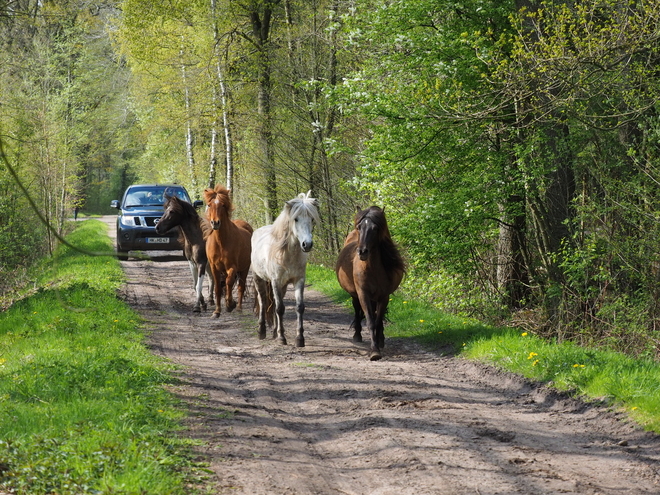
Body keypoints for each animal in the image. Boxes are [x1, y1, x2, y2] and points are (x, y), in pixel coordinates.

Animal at [204, 184, 253, 316]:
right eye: (209, 205)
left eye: (222, 205)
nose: (215, 223)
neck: (221, 242)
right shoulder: (214, 267)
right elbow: (218, 287)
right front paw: (217, 311)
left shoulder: (232, 267)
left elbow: (229, 282)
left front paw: (231, 304)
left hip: (245, 268)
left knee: (240, 286)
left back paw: (239, 307)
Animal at [251, 192, 320, 346]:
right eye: (296, 219)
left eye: (312, 219)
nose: (307, 244)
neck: (288, 255)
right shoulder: (276, 281)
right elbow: (279, 308)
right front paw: (282, 337)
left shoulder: (299, 281)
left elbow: (299, 307)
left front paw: (299, 339)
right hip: (259, 279)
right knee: (263, 301)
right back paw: (261, 331)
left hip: (282, 286)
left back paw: (274, 332)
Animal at [338, 205, 404, 360]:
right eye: (359, 227)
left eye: (375, 228)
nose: (362, 252)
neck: (372, 269)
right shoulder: (363, 294)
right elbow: (371, 322)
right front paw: (374, 351)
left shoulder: (384, 296)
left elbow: (378, 321)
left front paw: (378, 343)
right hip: (355, 295)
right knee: (357, 310)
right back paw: (357, 335)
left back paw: (381, 338)